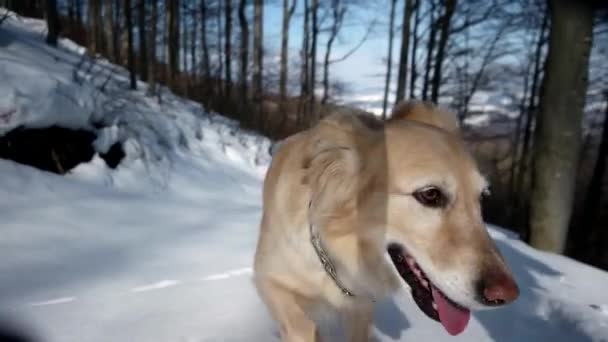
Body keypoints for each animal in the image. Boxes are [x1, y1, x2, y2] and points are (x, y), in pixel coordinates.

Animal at [252, 100, 516, 340]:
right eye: (430, 194)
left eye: (482, 197)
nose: (508, 295)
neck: (339, 255)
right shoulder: (268, 279)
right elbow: (301, 325)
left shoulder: (361, 306)